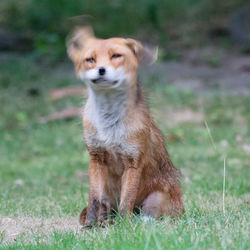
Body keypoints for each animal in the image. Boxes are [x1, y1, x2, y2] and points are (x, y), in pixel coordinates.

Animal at [66, 27, 184, 227]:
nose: (101, 70)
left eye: (116, 56)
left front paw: (123, 227)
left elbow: (126, 201)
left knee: (151, 215)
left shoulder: (133, 160)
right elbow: (94, 199)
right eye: (90, 59)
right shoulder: (96, 156)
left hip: (158, 198)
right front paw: (90, 225)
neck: (109, 128)